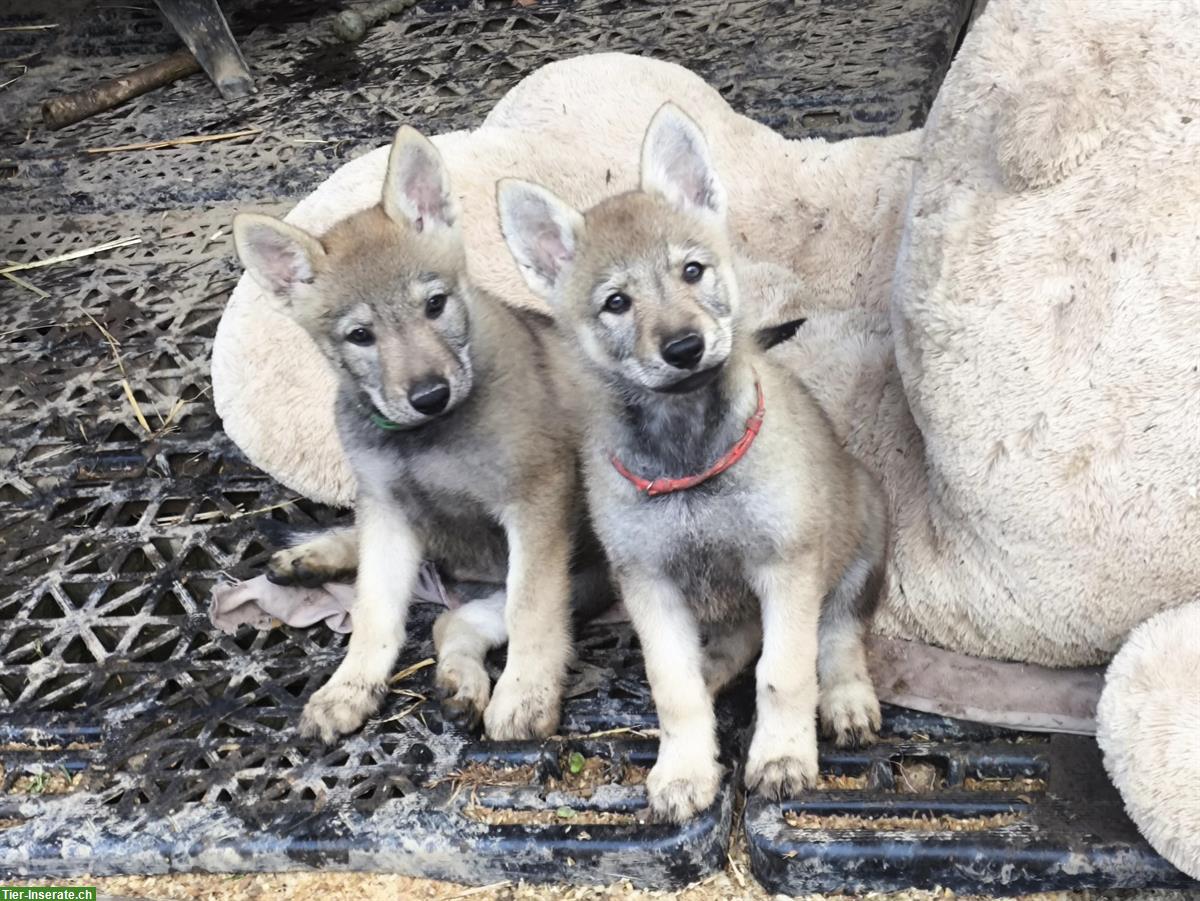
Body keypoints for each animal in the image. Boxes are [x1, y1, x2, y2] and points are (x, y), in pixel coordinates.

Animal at [230, 127, 604, 748]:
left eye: (435, 305)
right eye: (360, 335)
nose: (430, 394)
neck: (428, 441)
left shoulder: (538, 499)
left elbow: (532, 608)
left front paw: (525, 693)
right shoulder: (386, 507)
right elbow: (374, 612)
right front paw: (349, 688)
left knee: (459, 619)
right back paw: (314, 557)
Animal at [492, 103, 888, 825]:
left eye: (693, 271)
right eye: (616, 302)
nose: (683, 347)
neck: (688, 459)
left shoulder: (787, 571)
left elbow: (785, 673)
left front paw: (782, 756)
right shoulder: (651, 584)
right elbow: (672, 686)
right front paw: (684, 767)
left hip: (860, 544)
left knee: (838, 635)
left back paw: (846, 697)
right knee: (731, 648)